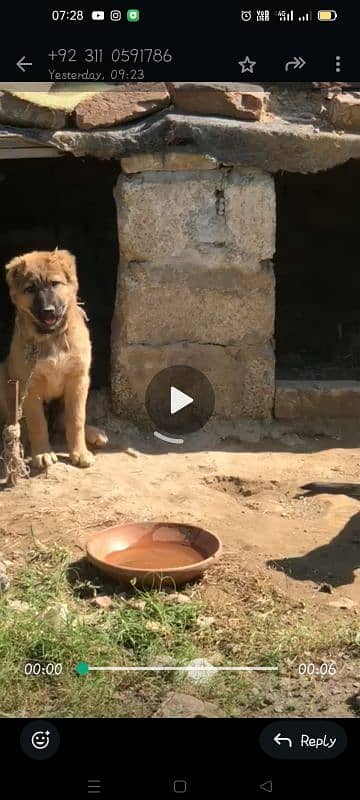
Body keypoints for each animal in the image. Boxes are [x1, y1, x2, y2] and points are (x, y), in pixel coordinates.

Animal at [0, 250, 107, 468]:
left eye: (55, 283)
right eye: (30, 289)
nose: (48, 311)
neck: (51, 338)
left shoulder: (78, 380)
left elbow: (76, 419)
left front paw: (80, 452)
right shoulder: (30, 386)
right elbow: (37, 423)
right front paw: (42, 453)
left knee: (62, 422)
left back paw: (94, 434)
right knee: (16, 421)